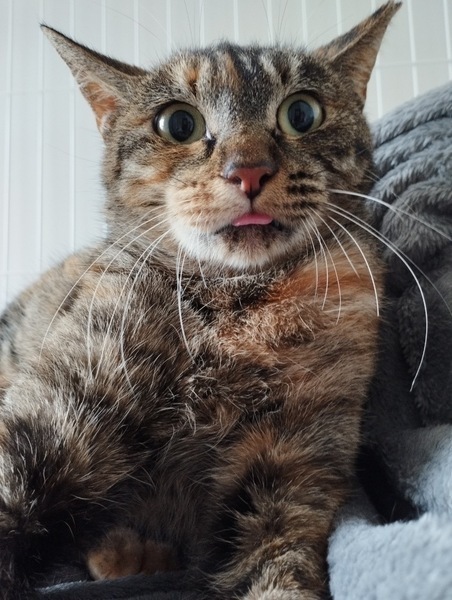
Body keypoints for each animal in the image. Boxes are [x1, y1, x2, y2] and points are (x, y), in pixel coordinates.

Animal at [0, 2, 400, 599]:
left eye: (301, 113)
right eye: (179, 123)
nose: (248, 168)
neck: (242, 302)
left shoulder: (294, 465)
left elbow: (280, 567)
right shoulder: (64, 406)